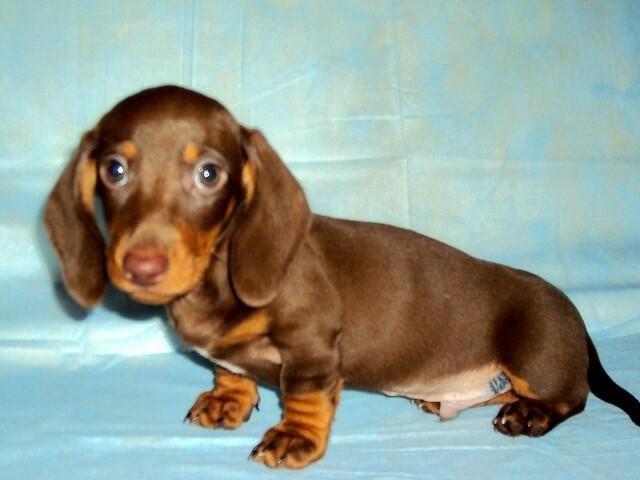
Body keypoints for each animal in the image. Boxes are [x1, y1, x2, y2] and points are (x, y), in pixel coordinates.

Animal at [44, 85, 640, 469]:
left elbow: (306, 395)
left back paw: (529, 416)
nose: (141, 266)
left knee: (573, 398)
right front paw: (226, 399)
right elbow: (228, 370)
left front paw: (293, 438)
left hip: (534, 353)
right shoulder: (229, 351)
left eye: (208, 174)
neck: (215, 277)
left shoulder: (312, 344)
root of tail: (577, 320)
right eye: (114, 170)